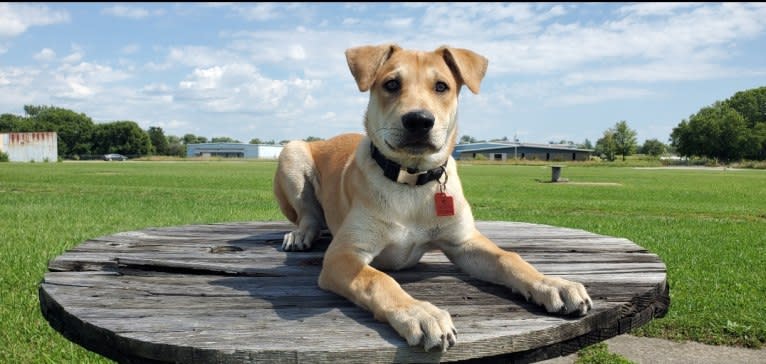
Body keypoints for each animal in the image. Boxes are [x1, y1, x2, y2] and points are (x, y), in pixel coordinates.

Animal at [276, 43, 592, 352]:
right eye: (391, 83)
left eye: (441, 86)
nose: (419, 120)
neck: (411, 182)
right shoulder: (343, 255)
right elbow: (378, 279)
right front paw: (419, 313)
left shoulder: (464, 242)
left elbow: (509, 258)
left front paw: (552, 284)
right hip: (292, 153)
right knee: (309, 216)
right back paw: (301, 235)